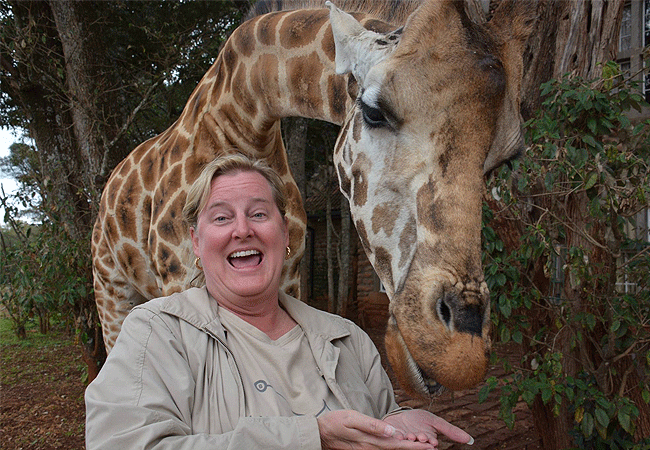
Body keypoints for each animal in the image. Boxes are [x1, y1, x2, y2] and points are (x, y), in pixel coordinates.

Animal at [92, 0, 536, 400]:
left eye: (503, 159)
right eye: (373, 111)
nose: (458, 354)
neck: (243, 119)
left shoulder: (287, 275)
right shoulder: (179, 277)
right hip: (111, 293)